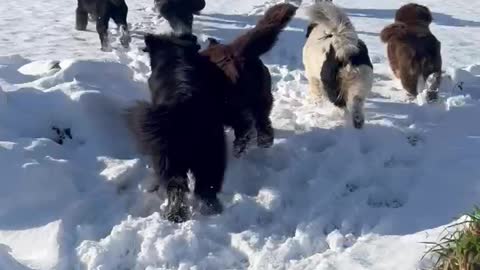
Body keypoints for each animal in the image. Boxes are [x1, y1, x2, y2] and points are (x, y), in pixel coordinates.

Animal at [125, 32, 231, 223]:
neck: (175, 52)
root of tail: (185, 106)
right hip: (211, 156)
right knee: (206, 188)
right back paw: (211, 211)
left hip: (168, 158)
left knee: (176, 186)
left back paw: (174, 215)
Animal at [199, 2, 296, 156]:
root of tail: (236, 52)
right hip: (262, 99)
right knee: (263, 124)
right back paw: (263, 142)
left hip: (228, 105)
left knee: (245, 126)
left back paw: (239, 147)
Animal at [302, 1, 374, 129]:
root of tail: (345, 49)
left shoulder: (312, 77)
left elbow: (317, 93)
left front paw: (317, 103)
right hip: (361, 83)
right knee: (357, 104)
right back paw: (358, 122)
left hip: (332, 85)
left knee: (341, 105)